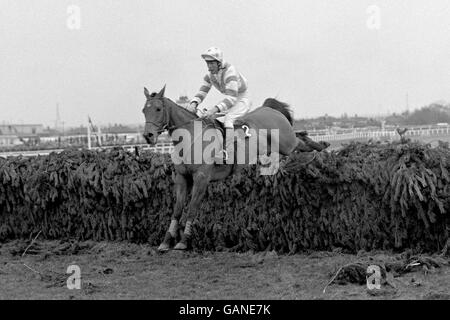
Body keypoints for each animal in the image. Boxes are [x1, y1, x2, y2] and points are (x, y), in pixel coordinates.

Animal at [141, 86, 320, 251]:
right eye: (144, 110)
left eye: (158, 109)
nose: (148, 136)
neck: (190, 139)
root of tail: (270, 109)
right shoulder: (182, 178)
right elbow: (177, 210)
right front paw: (165, 242)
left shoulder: (201, 178)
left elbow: (192, 208)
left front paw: (183, 241)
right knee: (301, 139)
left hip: (287, 144)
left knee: (301, 140)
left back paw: (317, 151)